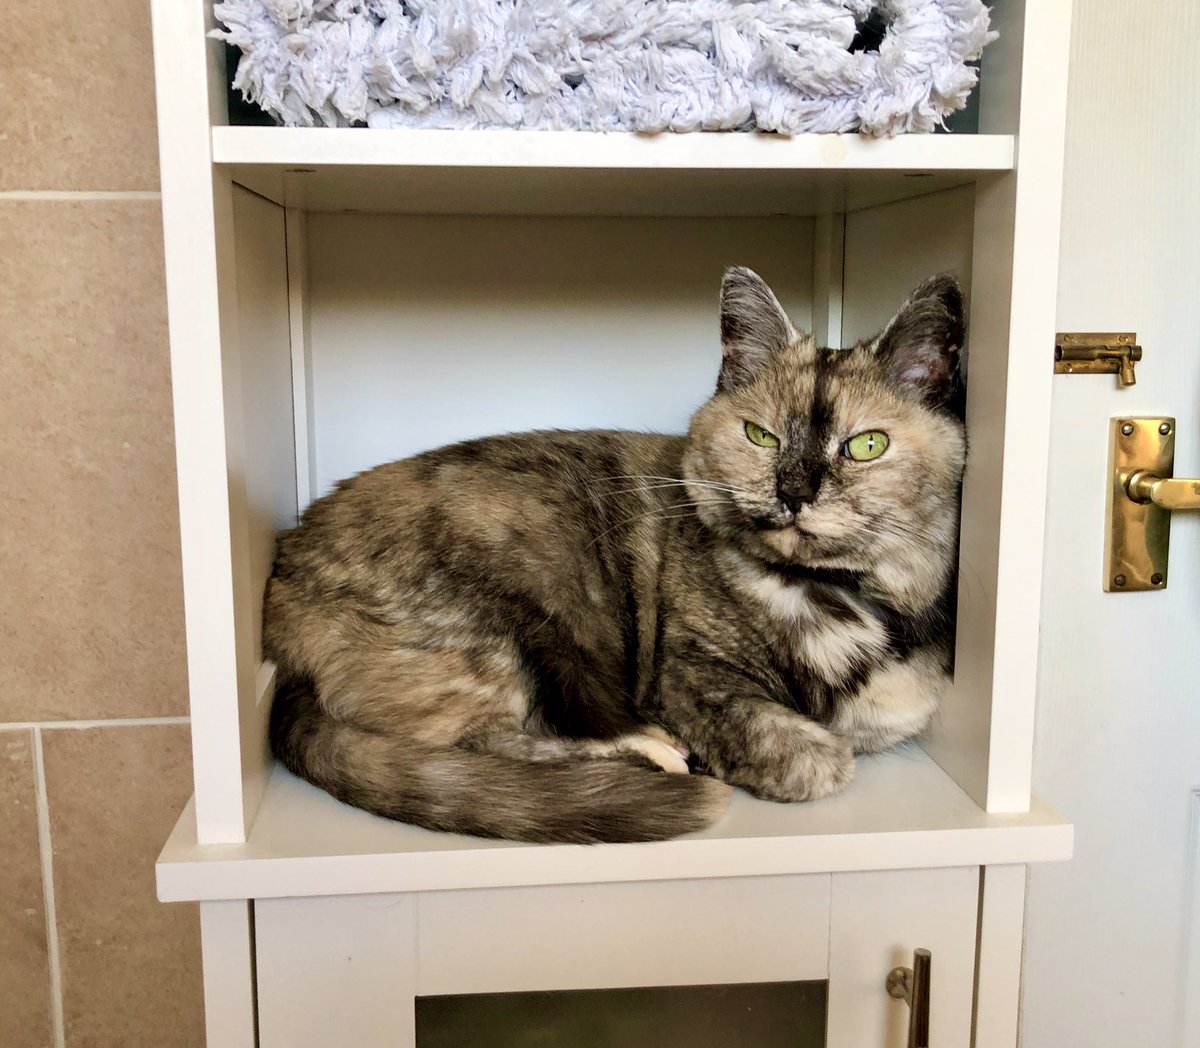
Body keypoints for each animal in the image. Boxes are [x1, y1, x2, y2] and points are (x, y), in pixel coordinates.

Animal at [262, 267, 964, 840]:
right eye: (760, 435)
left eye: (866, 445)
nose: (793, 492)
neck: (823, 595)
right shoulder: (688, 680)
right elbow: (814, 758)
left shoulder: (901, 706)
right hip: (502, 627)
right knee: (483, 745)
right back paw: (654, 754)